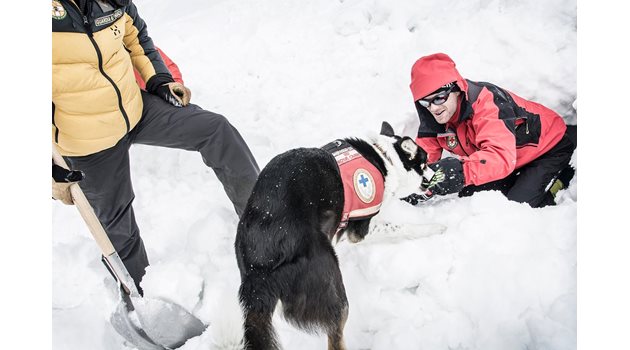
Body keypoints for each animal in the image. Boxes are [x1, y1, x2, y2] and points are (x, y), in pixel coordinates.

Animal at [236, 121, 430, 348]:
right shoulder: (361, 228)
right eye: (425, 163)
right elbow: (402, 228)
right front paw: (435, 227)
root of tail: (259, 266)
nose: (434, 173)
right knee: (335, 335)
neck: (384, 159)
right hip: (332, 287)